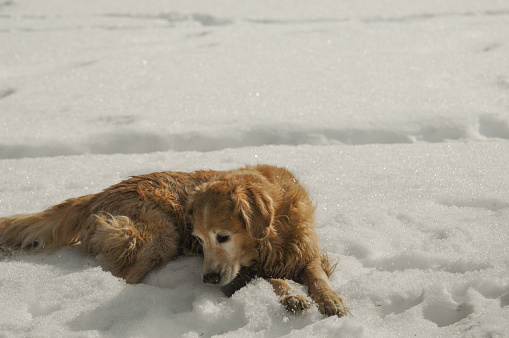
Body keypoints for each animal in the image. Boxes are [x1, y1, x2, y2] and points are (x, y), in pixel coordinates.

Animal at [0, 164, 346, 316]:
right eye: (200, 241)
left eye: (223, 237)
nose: (208, 280)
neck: (274, 234)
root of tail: (97, 195)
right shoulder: (240, 274)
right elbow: (273, 279)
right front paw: (291, 296)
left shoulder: (307, 250)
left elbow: (316, 275)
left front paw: (330, 299)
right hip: (159, 235)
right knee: (122, 273)